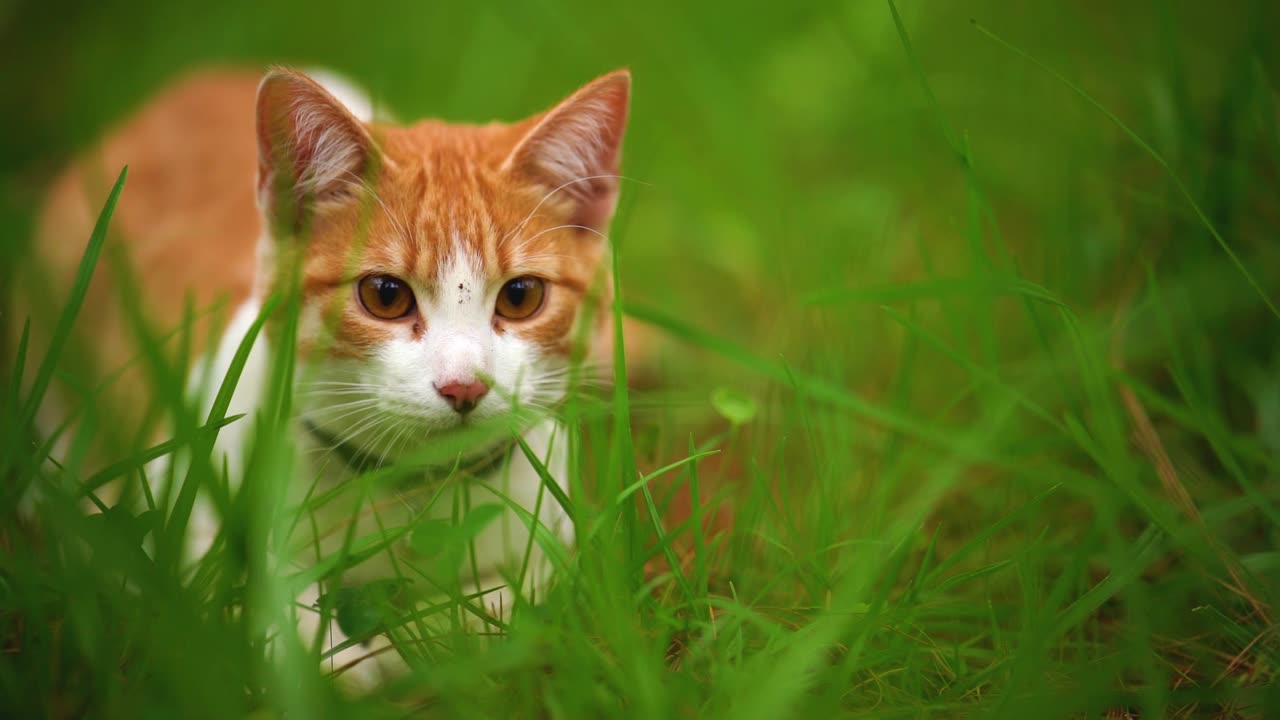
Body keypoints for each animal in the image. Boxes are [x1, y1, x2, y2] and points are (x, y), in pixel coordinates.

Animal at [23, 67, 629, 681]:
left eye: (521, 296)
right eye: (385, 295)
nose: (464, 386)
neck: (408, 491)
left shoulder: (555, 533)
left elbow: (505, 603)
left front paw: (425, 636)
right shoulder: (177, 505)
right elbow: (223, 594)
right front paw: (334, 658)